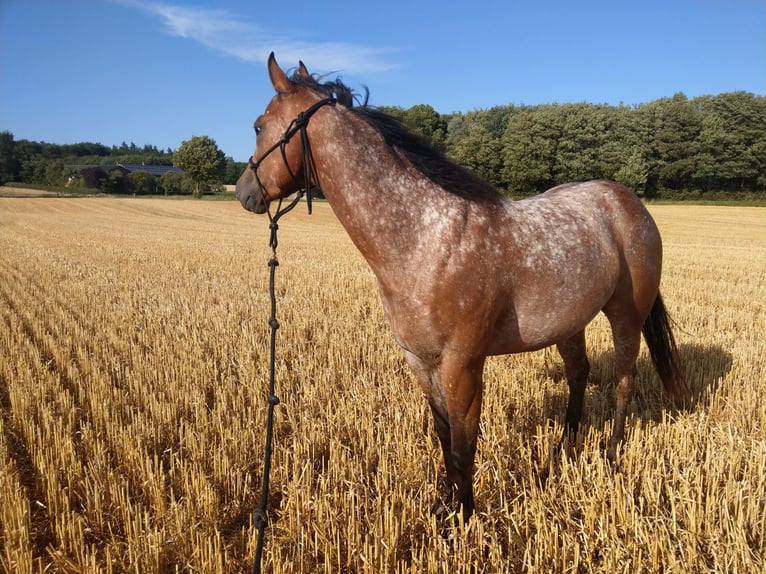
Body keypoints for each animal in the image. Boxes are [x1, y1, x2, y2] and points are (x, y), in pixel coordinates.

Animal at [236, 54, 688, 520]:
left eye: (258, 125)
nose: (243, 191)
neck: (426, 237)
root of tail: (628, 201)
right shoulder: (420, 362)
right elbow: (443, 435)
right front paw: (444, 505)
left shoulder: (463, 365)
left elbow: (463, 442)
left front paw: (464, 515)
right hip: (569, 323)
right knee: (579, 374)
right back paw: (563, 449)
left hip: (626, 316)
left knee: (623, 379)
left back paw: (612, 452)